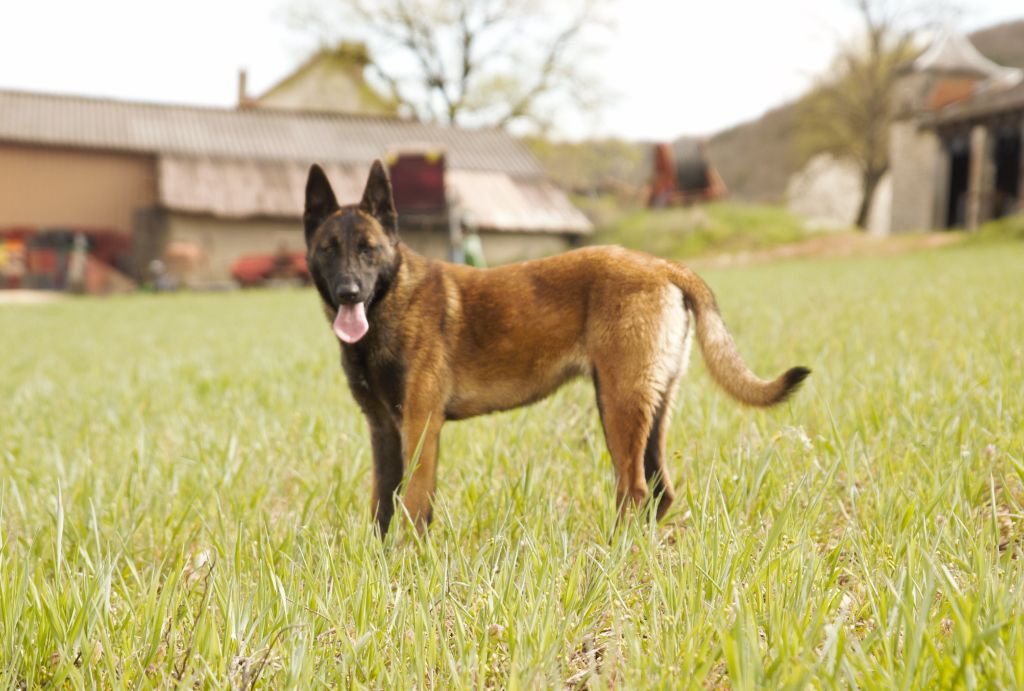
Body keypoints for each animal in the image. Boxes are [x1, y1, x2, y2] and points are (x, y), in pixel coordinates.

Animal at [303, 160, 806, 536]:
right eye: (328, 249)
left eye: (368, 249)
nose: (348, 292)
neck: (391, 300)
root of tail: (664, 264)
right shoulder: (383, 430)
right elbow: (382, 506)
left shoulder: (420, 426)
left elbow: (411, 505)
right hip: (645, 404)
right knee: (659, 491)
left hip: (619, 404)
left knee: (634, 490)